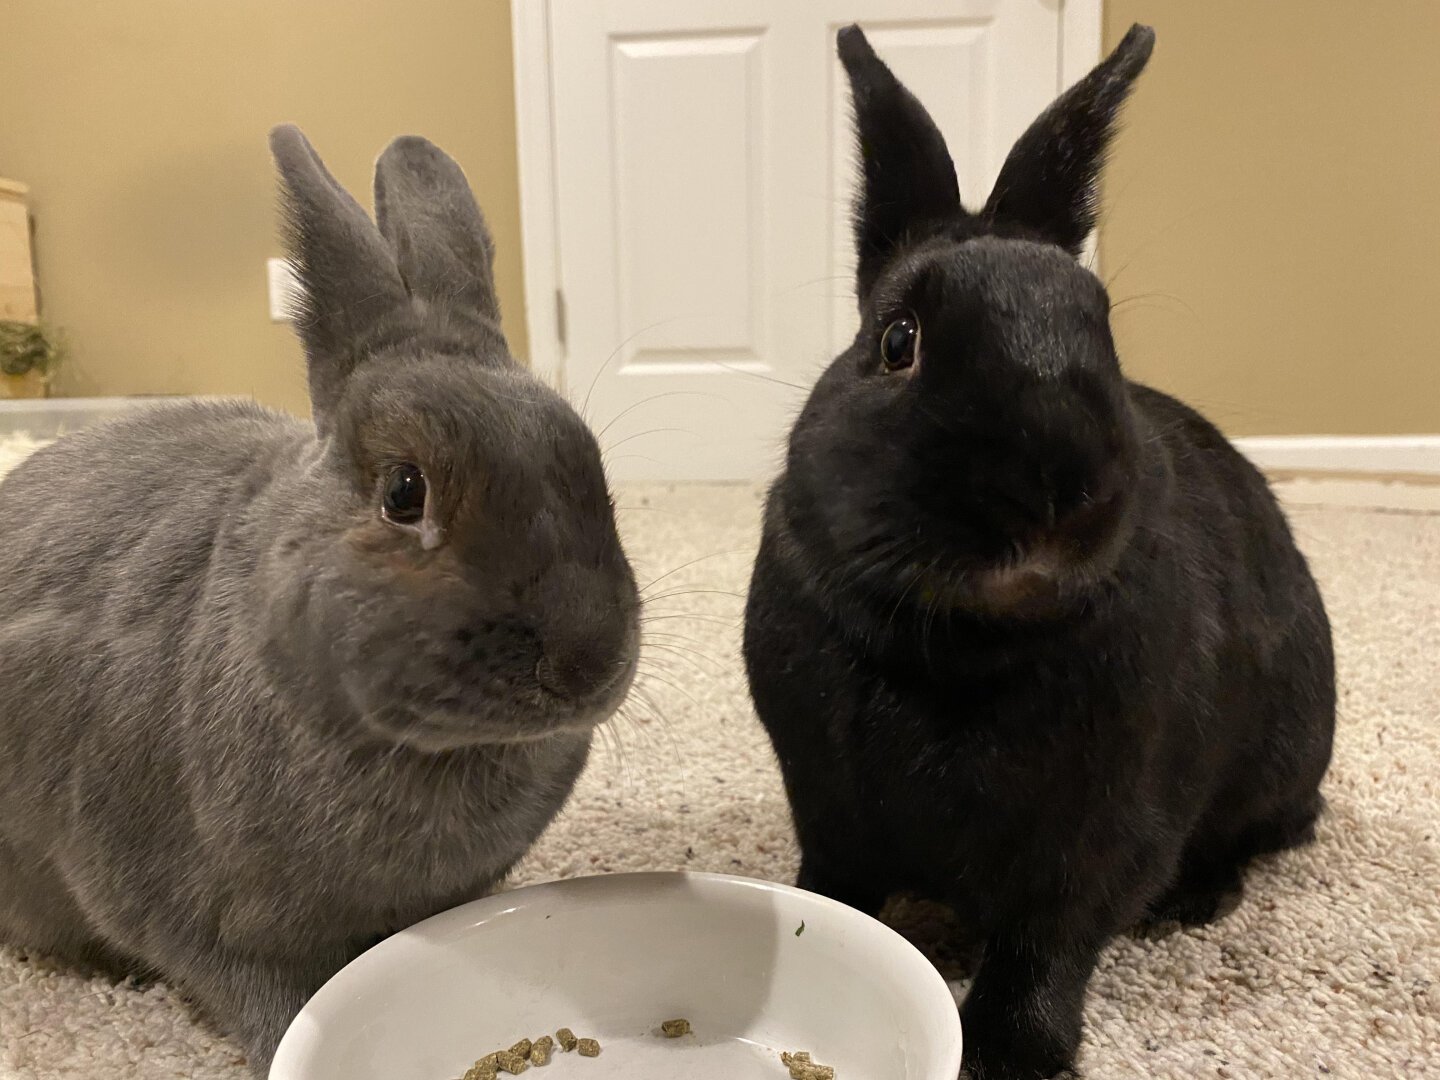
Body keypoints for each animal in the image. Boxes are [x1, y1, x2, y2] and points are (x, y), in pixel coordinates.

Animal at [743, 25, 1336, 1080]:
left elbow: (1051, 941)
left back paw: (1192, 905)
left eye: (1102, 331)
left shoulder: (1105, 833)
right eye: (897, 340)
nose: (1056, 489)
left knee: (1257, 837)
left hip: (1278, 765)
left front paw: (1006, 1055)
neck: (960, 647)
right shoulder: (827, 803)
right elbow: (839, 887)